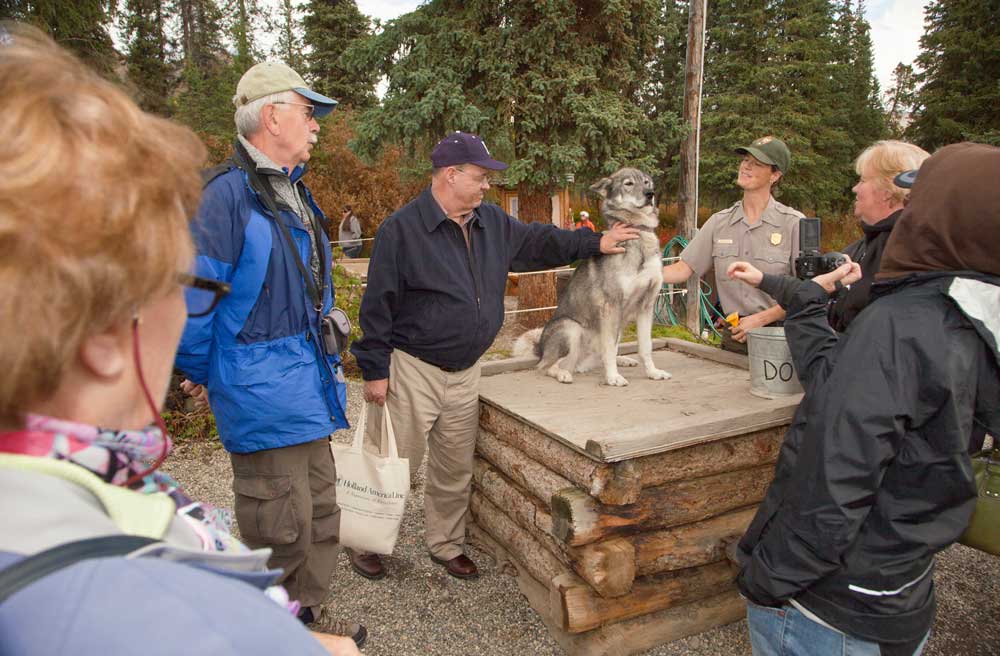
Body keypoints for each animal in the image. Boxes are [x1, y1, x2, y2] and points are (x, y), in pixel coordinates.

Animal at [516, 167, 672, 386]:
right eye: (628, 183)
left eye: (647, 182)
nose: (650, 194)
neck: (639, 236)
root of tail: (540, 348)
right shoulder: (611, 306)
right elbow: (610, 348)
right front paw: (613, 377)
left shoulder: (646, 306)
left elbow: (645, 347)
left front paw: (652, 372)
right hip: (572, 328)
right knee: (547, 366)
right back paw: (563, 373)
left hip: (617, 325)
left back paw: (623, 360)